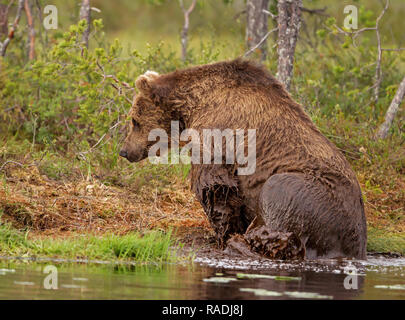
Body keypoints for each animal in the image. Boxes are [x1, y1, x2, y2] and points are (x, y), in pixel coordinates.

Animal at [119, 58, 366, 260]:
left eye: (134, 120)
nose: (124, 151)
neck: (192, 106)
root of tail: (356, 242)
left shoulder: (217, 135)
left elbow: (214, 186)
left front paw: (224, 234)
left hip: (311, 194)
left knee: (280, 205)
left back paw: (243, 243)